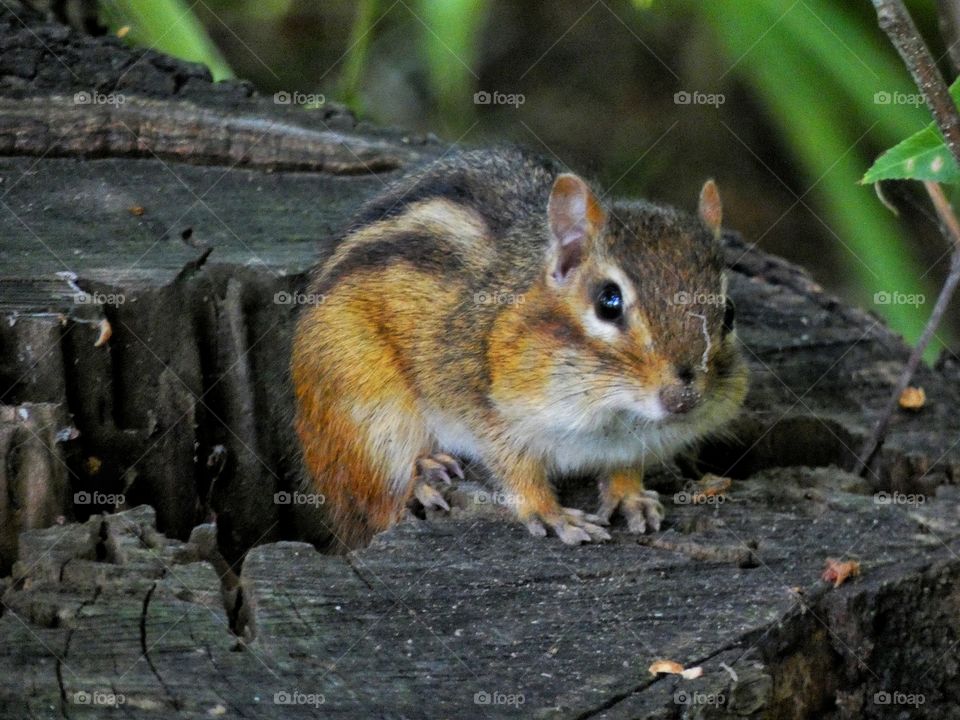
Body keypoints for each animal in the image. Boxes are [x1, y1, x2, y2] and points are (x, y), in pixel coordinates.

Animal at [292, 147, 748, 551]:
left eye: (729, 312)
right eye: (608, 302)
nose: (682, 399)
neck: (612, 413)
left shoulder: (632, 441)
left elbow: (625, 467)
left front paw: (631, 496)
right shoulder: (488, 411)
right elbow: (517, 471)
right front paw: (552, 514)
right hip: (363, 408)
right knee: (375, 495)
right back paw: (421, 476)